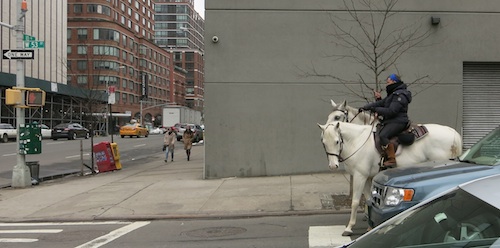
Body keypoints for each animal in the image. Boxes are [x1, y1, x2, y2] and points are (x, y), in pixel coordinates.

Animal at [318, 118, 462, 234]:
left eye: (337, 141)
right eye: (323, 143)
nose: (333, 166)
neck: (357, 141)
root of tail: (453, 132)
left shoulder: (360, 176)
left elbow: (355, 202)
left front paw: (349, 228)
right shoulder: (367, 177)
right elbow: (369, 199)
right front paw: (370, 226)